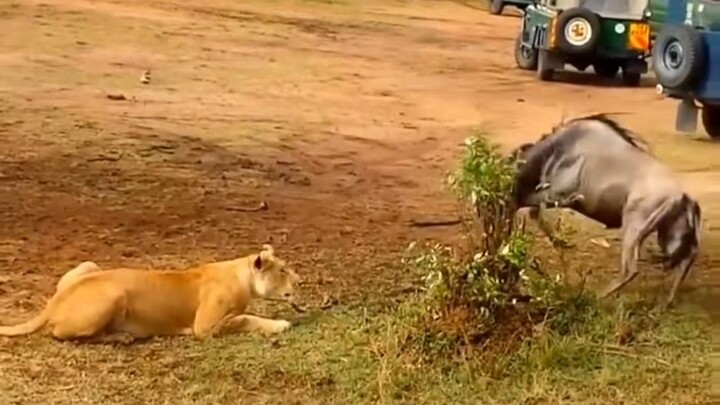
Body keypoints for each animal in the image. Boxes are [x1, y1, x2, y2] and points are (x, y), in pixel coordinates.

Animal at [0, 244, 300, 343]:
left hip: (89, 265)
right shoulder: (204, 327)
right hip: (115, 294)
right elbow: (245, 318)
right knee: (60, 334)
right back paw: (121, 337)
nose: (300, 280)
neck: (242, 273)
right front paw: (281, 324)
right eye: (283, 270)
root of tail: (52, 303)